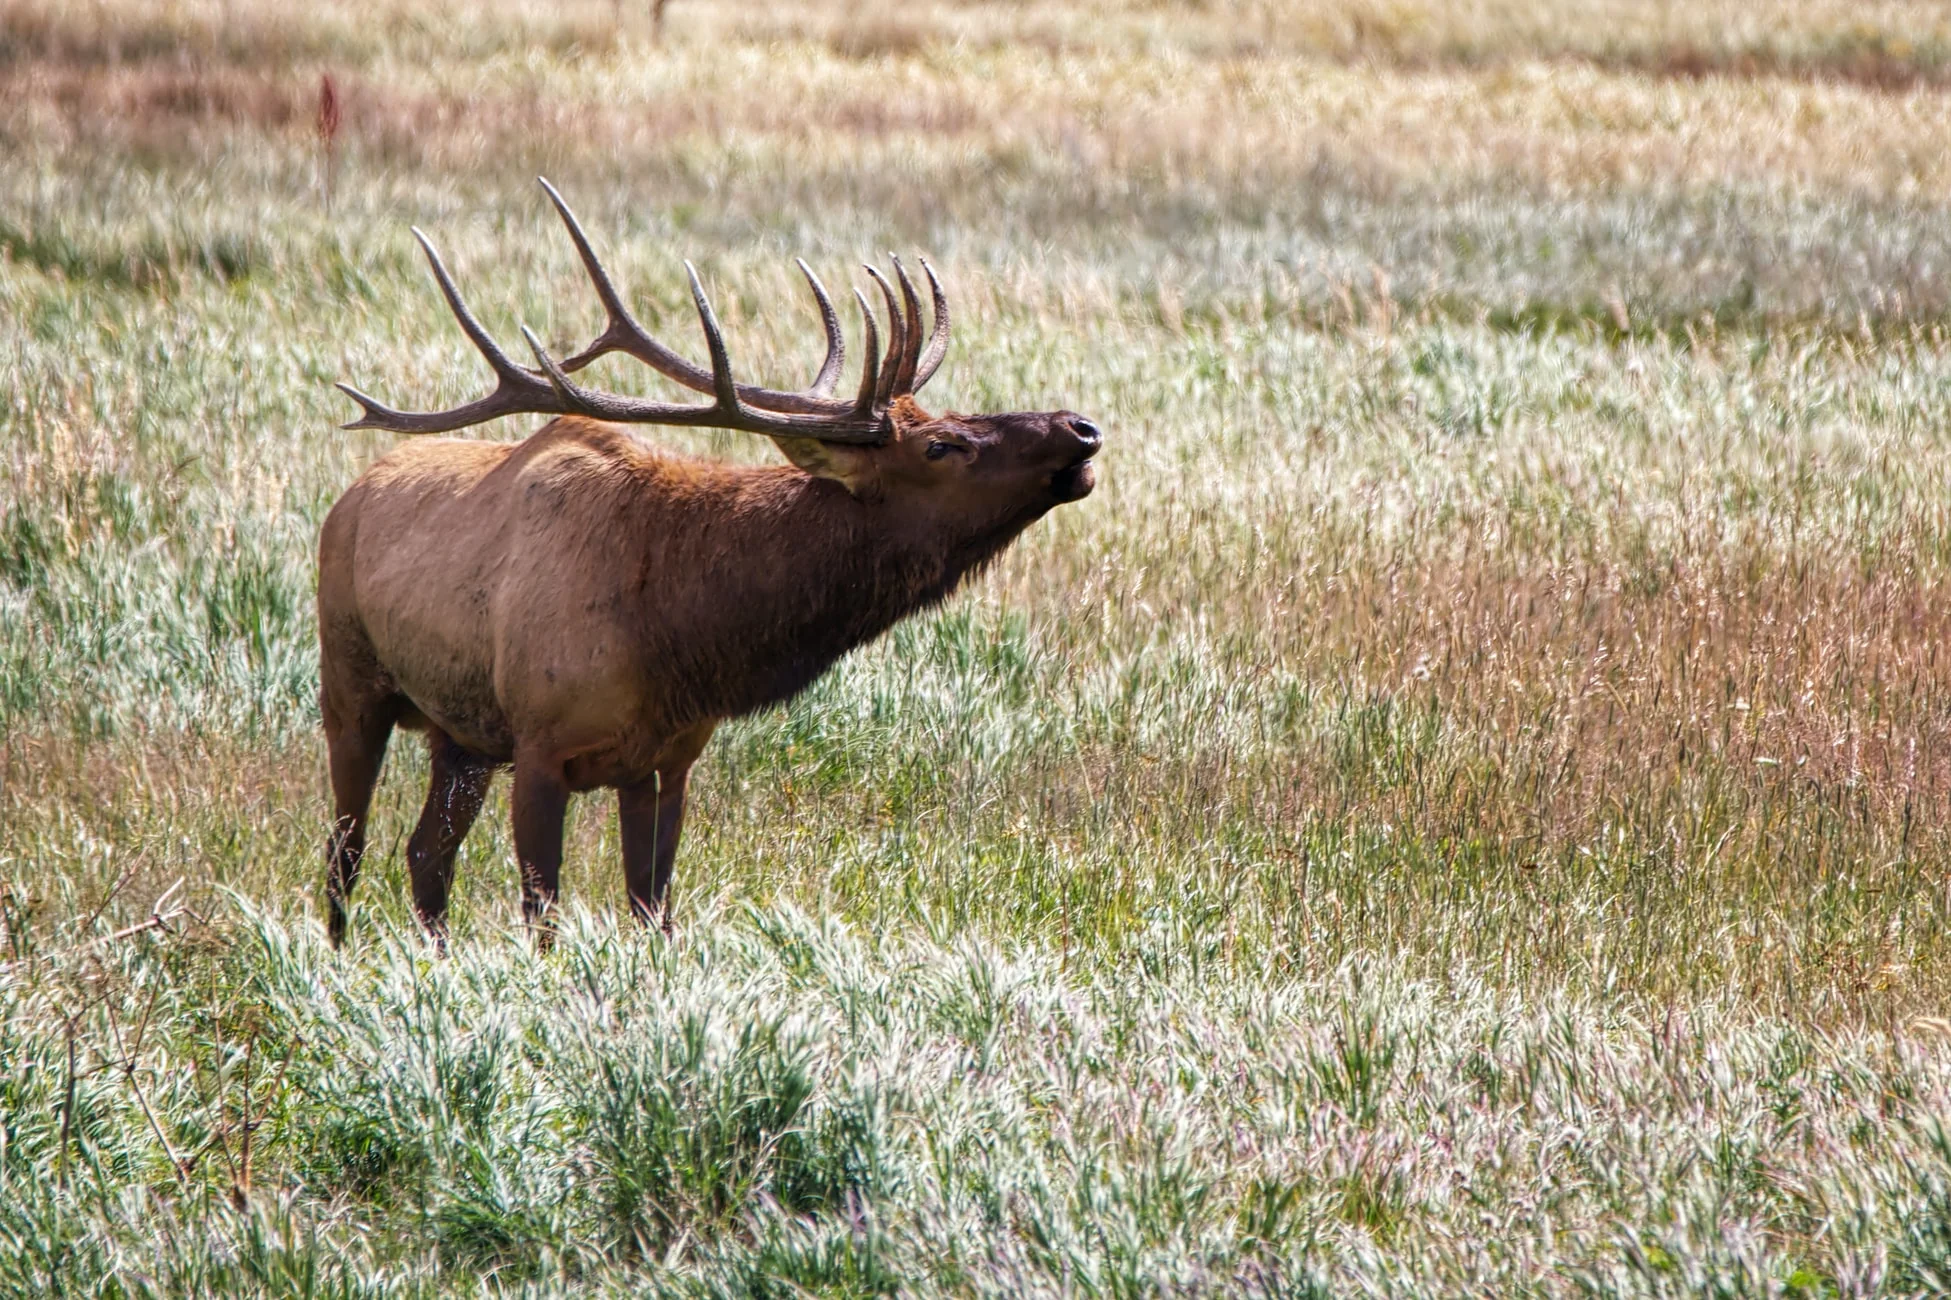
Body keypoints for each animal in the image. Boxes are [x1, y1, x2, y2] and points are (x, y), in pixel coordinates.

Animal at [327, 182, 1108, 948]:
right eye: (941, 446)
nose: (1082, 427)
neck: (678, 638)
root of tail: (351, 493)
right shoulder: (540, 742)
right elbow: (541, 915)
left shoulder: (667, 757)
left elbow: (653, 910)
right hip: (351, 680)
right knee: (347, 850)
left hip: (462, 736)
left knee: (425, 853)